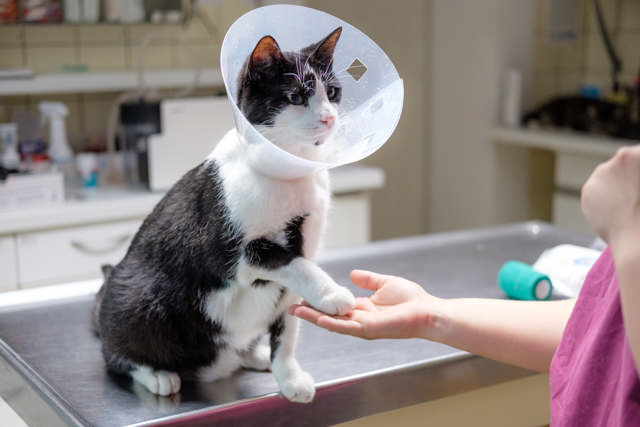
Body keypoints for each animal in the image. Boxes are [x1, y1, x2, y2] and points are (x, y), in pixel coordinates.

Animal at [91, 27, 356, 404]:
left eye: (331, 92)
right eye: (295, 96)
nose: (329, 118)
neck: (292, 173)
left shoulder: (305, 251)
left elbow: (287, 327)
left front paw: (289, 377)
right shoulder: (228, 253)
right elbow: (293, 263)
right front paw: (332, 293)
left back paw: (253, 354)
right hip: (136, 299)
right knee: (115, 353)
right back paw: (156, 374)